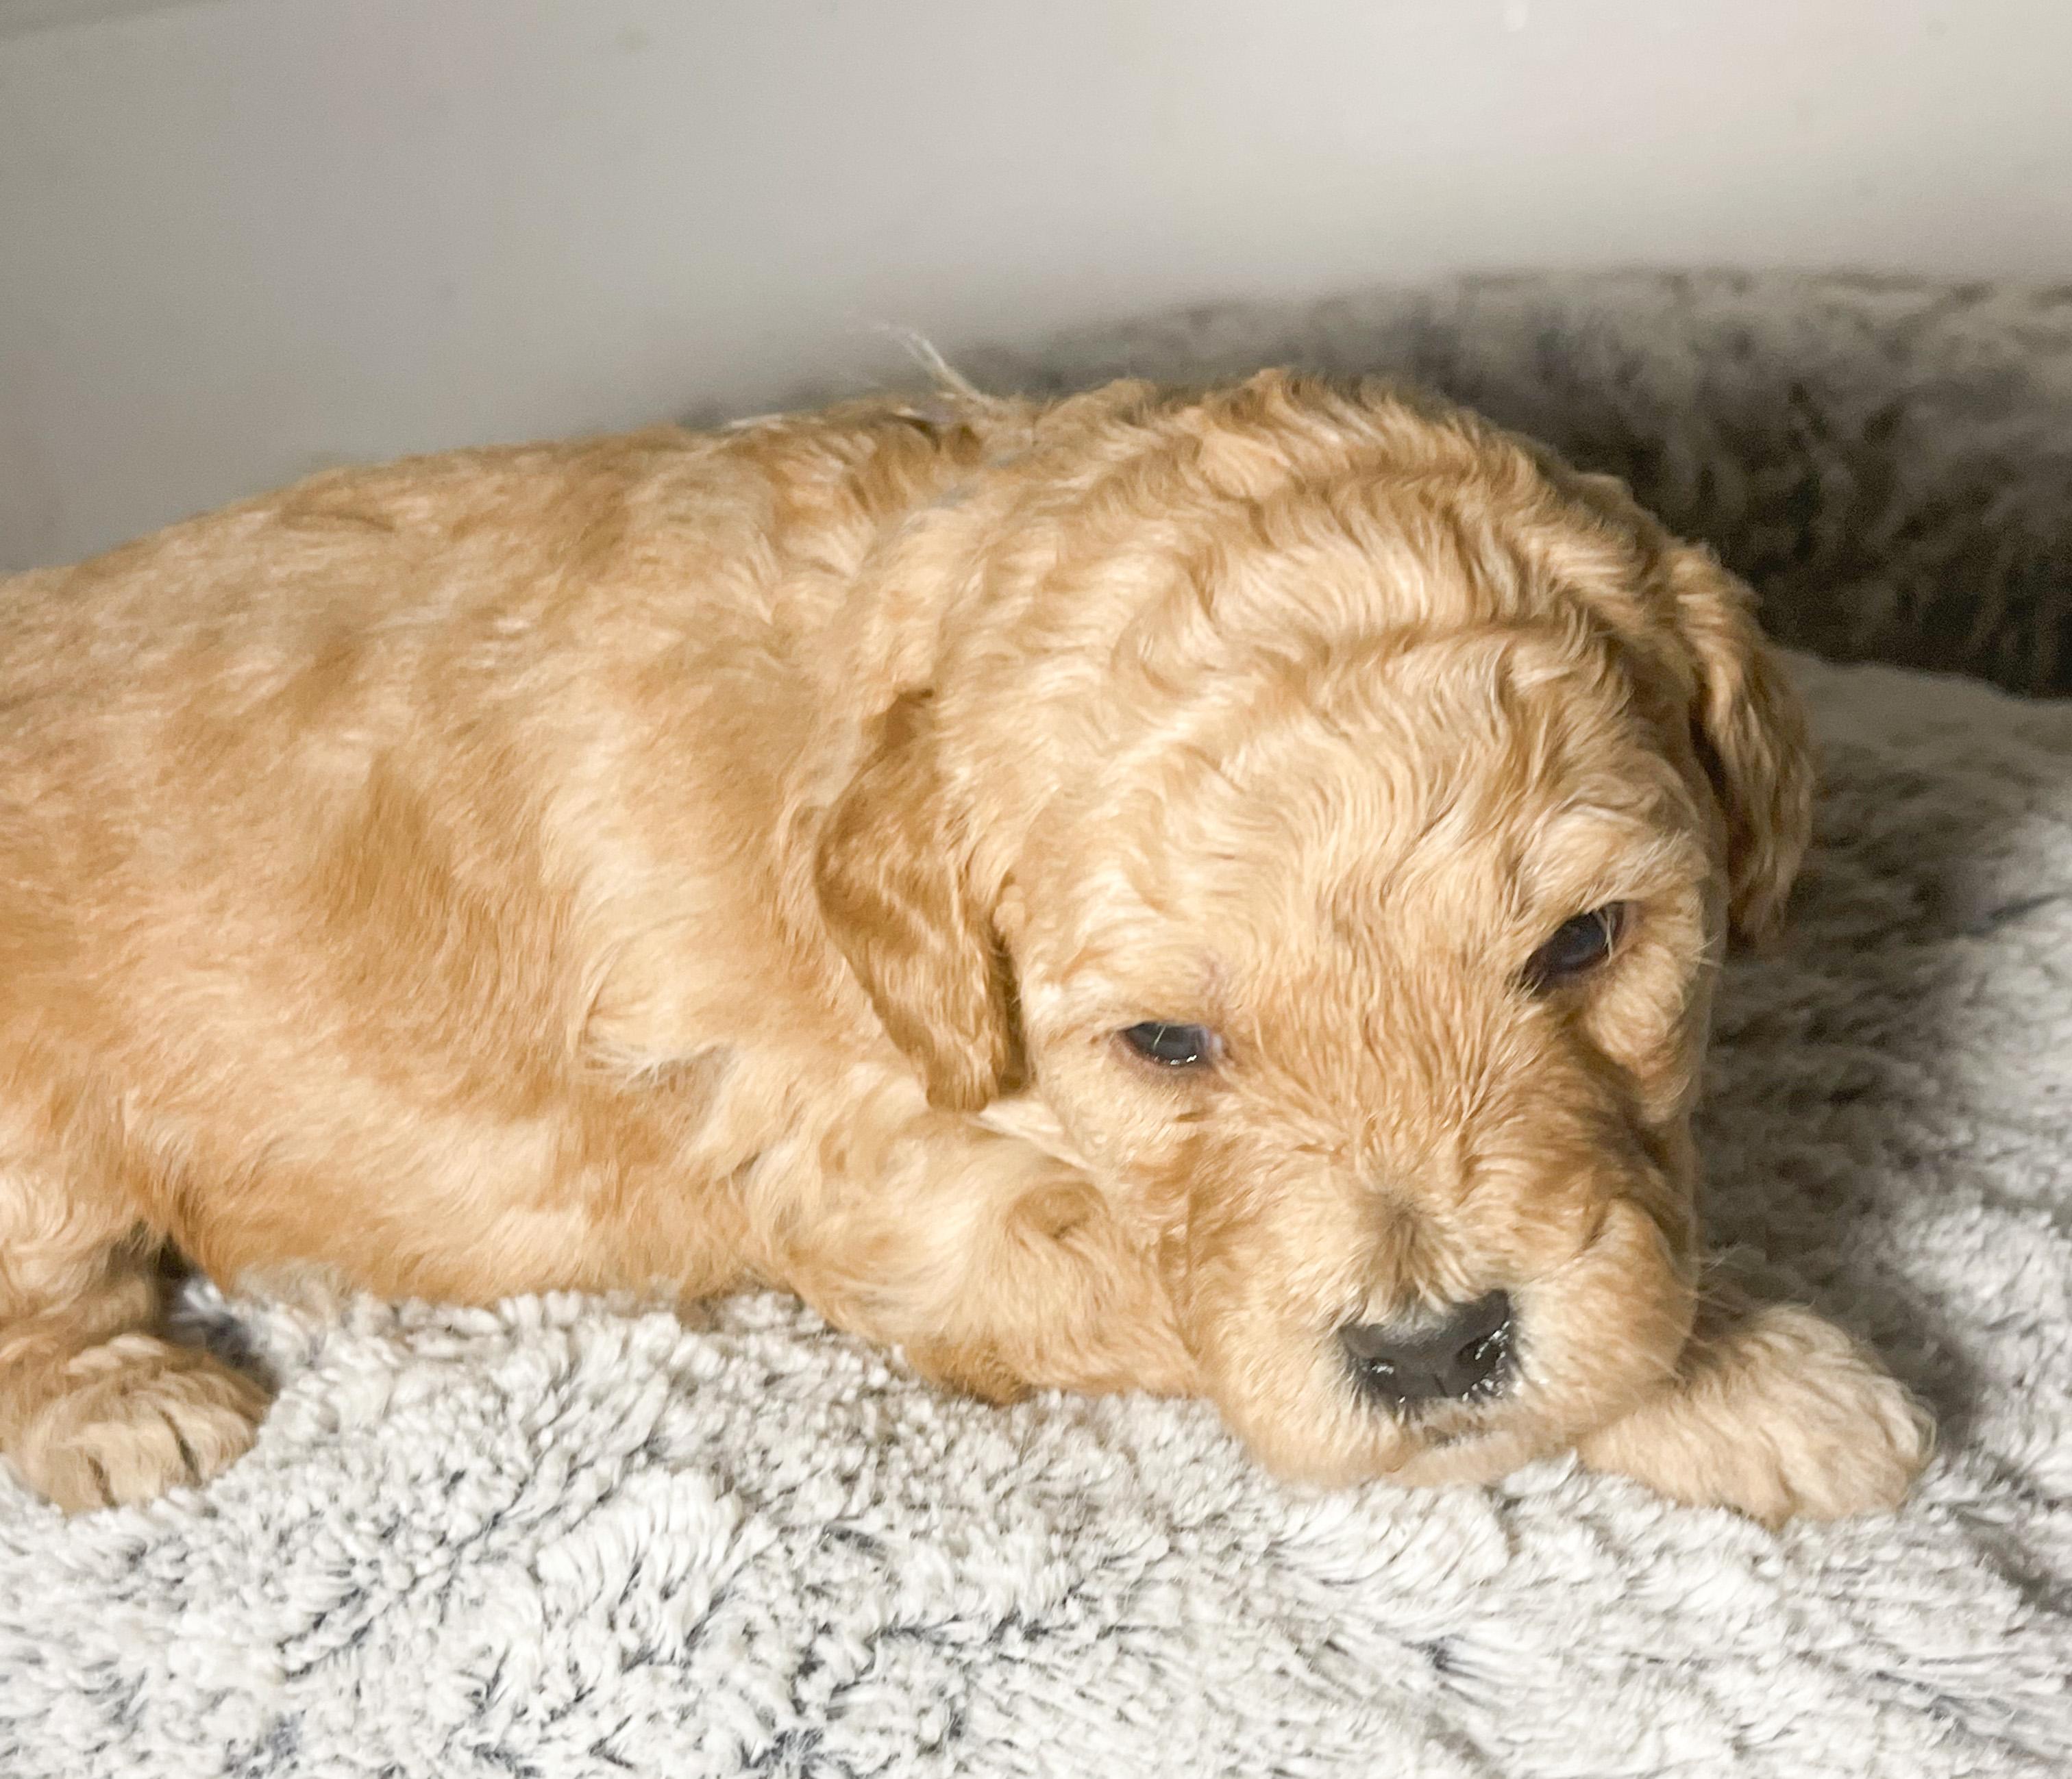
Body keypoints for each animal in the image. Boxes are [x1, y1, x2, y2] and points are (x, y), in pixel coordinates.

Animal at [0, 370, 1931, 1523]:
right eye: (1167, 1045)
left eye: (1584, 943)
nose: (1432, 1350)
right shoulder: (914, 1209)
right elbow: (1172, 1296)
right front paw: (1760, 1383)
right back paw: (127, 1404)